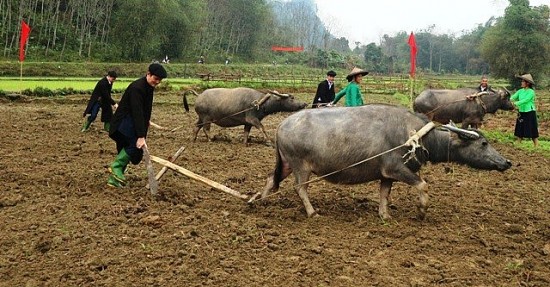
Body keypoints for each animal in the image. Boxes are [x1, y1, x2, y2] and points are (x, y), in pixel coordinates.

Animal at [260, 105, 512, 220]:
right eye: (483, 144)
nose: (507, 162)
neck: (416, 137)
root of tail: (282, 125)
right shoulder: (396, 169)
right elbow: (423, 185)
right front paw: (422, 210)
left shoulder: (386, 175)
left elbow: (384, 195)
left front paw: (385, 215)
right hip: (300, 166)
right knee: (300, 187)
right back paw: (312, 212)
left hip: (286, 164)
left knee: (270, 179)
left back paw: (261, 202)